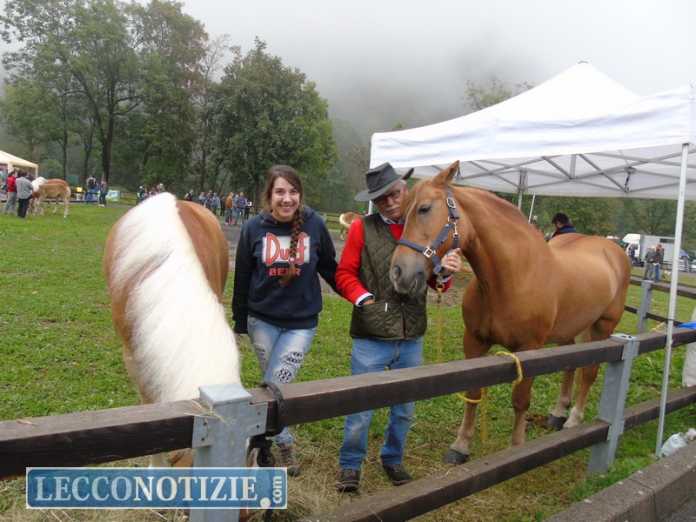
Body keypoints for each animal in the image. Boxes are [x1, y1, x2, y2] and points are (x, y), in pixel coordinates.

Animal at [390, 161, 631, 464]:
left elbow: (520, 399)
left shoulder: (529, 350)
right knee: (571, 366)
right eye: (402, 213)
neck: (512, 277)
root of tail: (613, 250)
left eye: (424, 208)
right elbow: (473, 391)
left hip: (603, 327)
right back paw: (558, 414)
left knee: (589, 372)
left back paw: (574, 420)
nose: (398, 273)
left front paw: (517, 447)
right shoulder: (474, 342)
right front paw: (461, 445)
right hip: (570, 332)